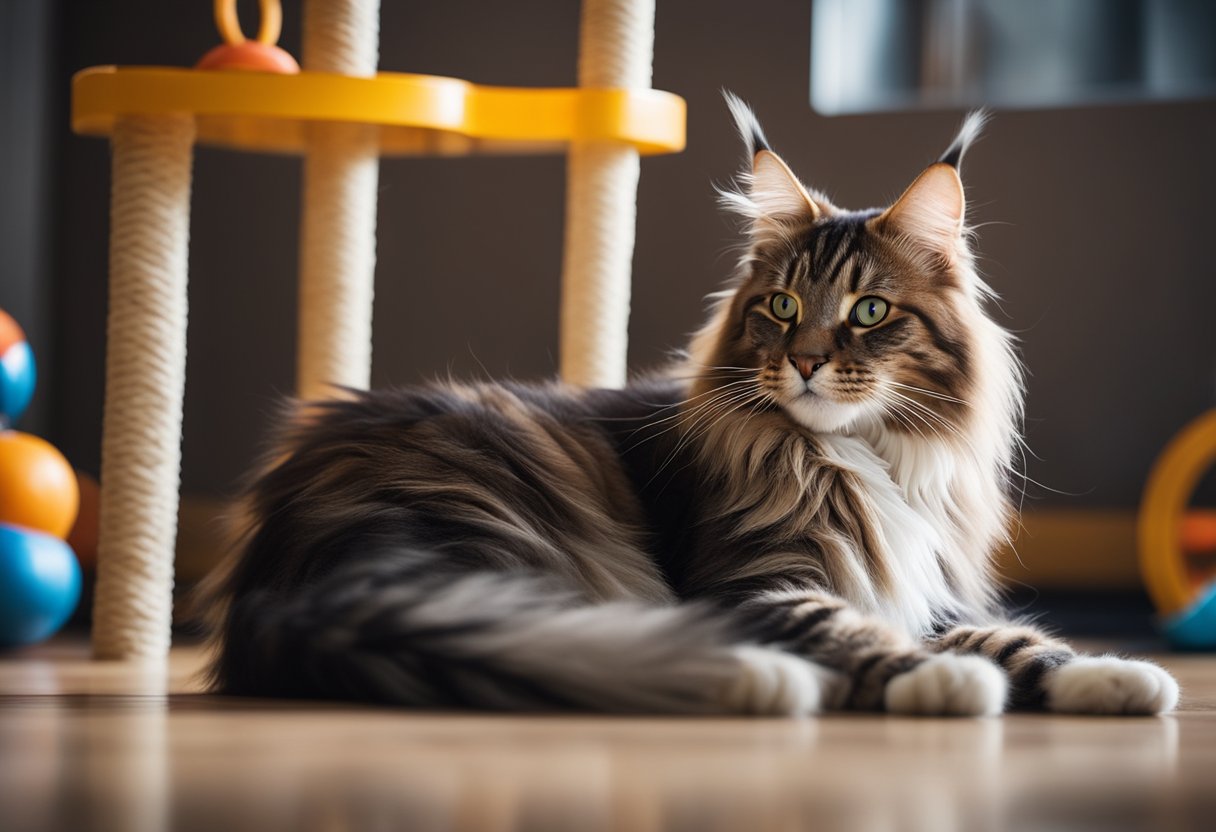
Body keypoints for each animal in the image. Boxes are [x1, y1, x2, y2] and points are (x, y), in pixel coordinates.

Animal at [201, 96, 1177, 715]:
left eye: (869, 313)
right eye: (780, 306)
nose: (808, 362)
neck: (864, 460)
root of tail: (277, 569)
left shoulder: (927, 591)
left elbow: (1015, 639)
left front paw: (1115, 678)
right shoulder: (759, 581)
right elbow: (861, 631)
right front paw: (941, 683)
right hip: (503, 532)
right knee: (570, 638)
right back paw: (758, 679)